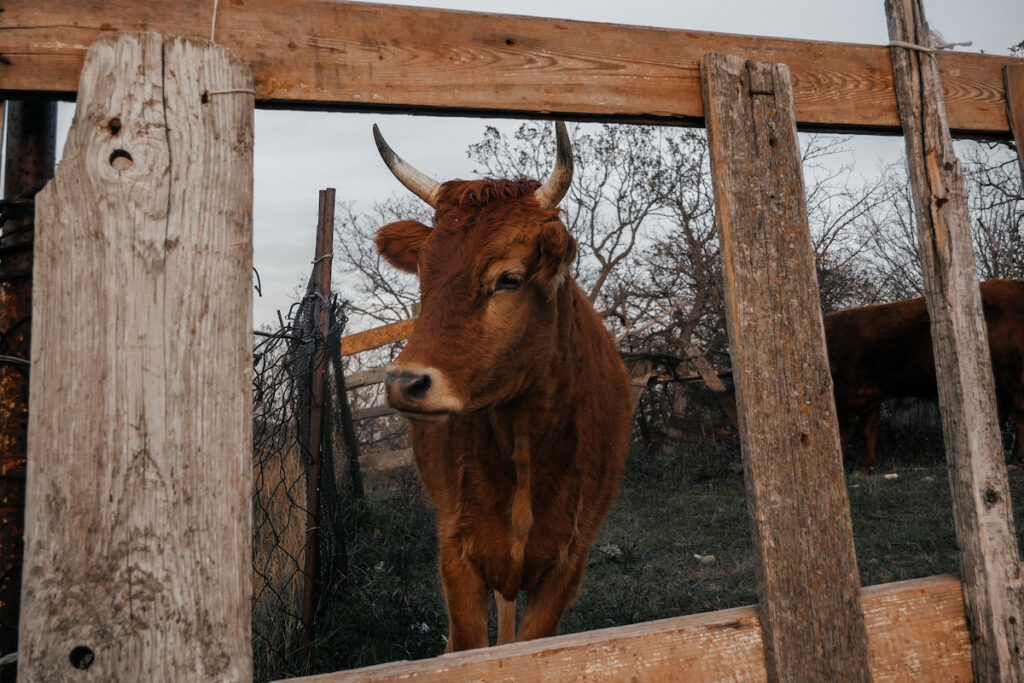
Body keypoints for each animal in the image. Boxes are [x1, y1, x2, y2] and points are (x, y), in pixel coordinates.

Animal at [368, 121, 630, 651]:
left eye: (509, 279)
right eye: (424, 274)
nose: (405, 382)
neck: (525, 442)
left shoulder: (569, 560)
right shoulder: (456, 547)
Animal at [823, 280, 1024, 473]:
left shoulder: (846, 394)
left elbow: (840, 432)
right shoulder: (869, 394)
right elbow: (869, 429)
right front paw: (866, 467)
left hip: (1013, 372)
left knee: (1018, 413)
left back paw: (1015, 460)